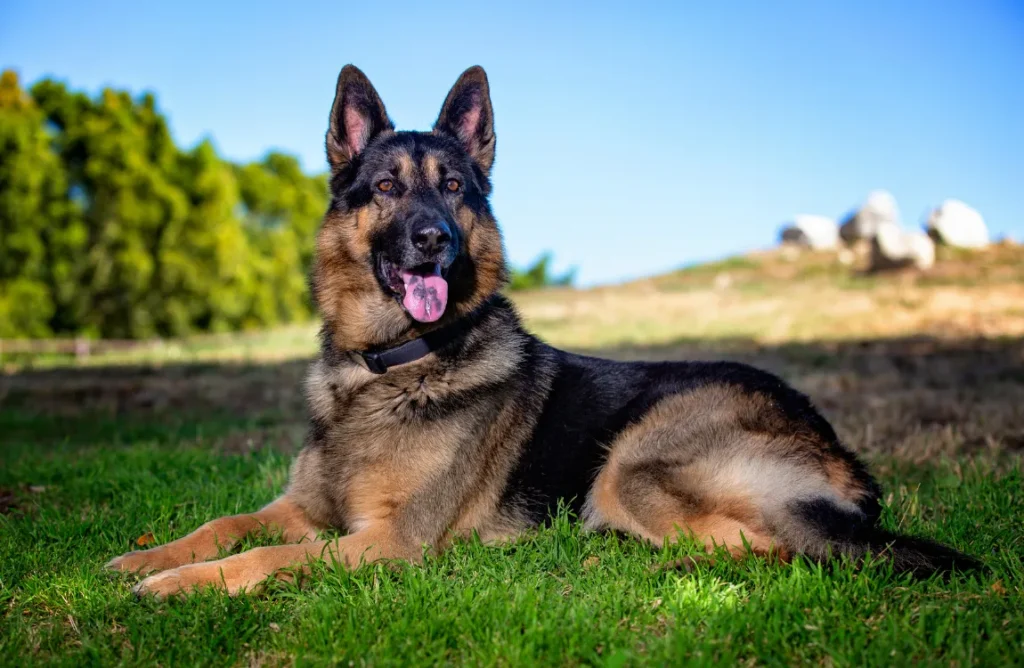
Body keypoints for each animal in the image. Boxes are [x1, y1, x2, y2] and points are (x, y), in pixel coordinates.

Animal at [108, 65, 978, 598]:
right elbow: (225, 524)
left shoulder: (388, 543)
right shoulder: (304, 507)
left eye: (454, 188)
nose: (434, 240)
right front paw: (144, 556)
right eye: (386, 188)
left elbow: (269, 554)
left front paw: (175, 586)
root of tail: (842, 455)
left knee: (762, 548)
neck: (388, 367)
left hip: (633, 464)